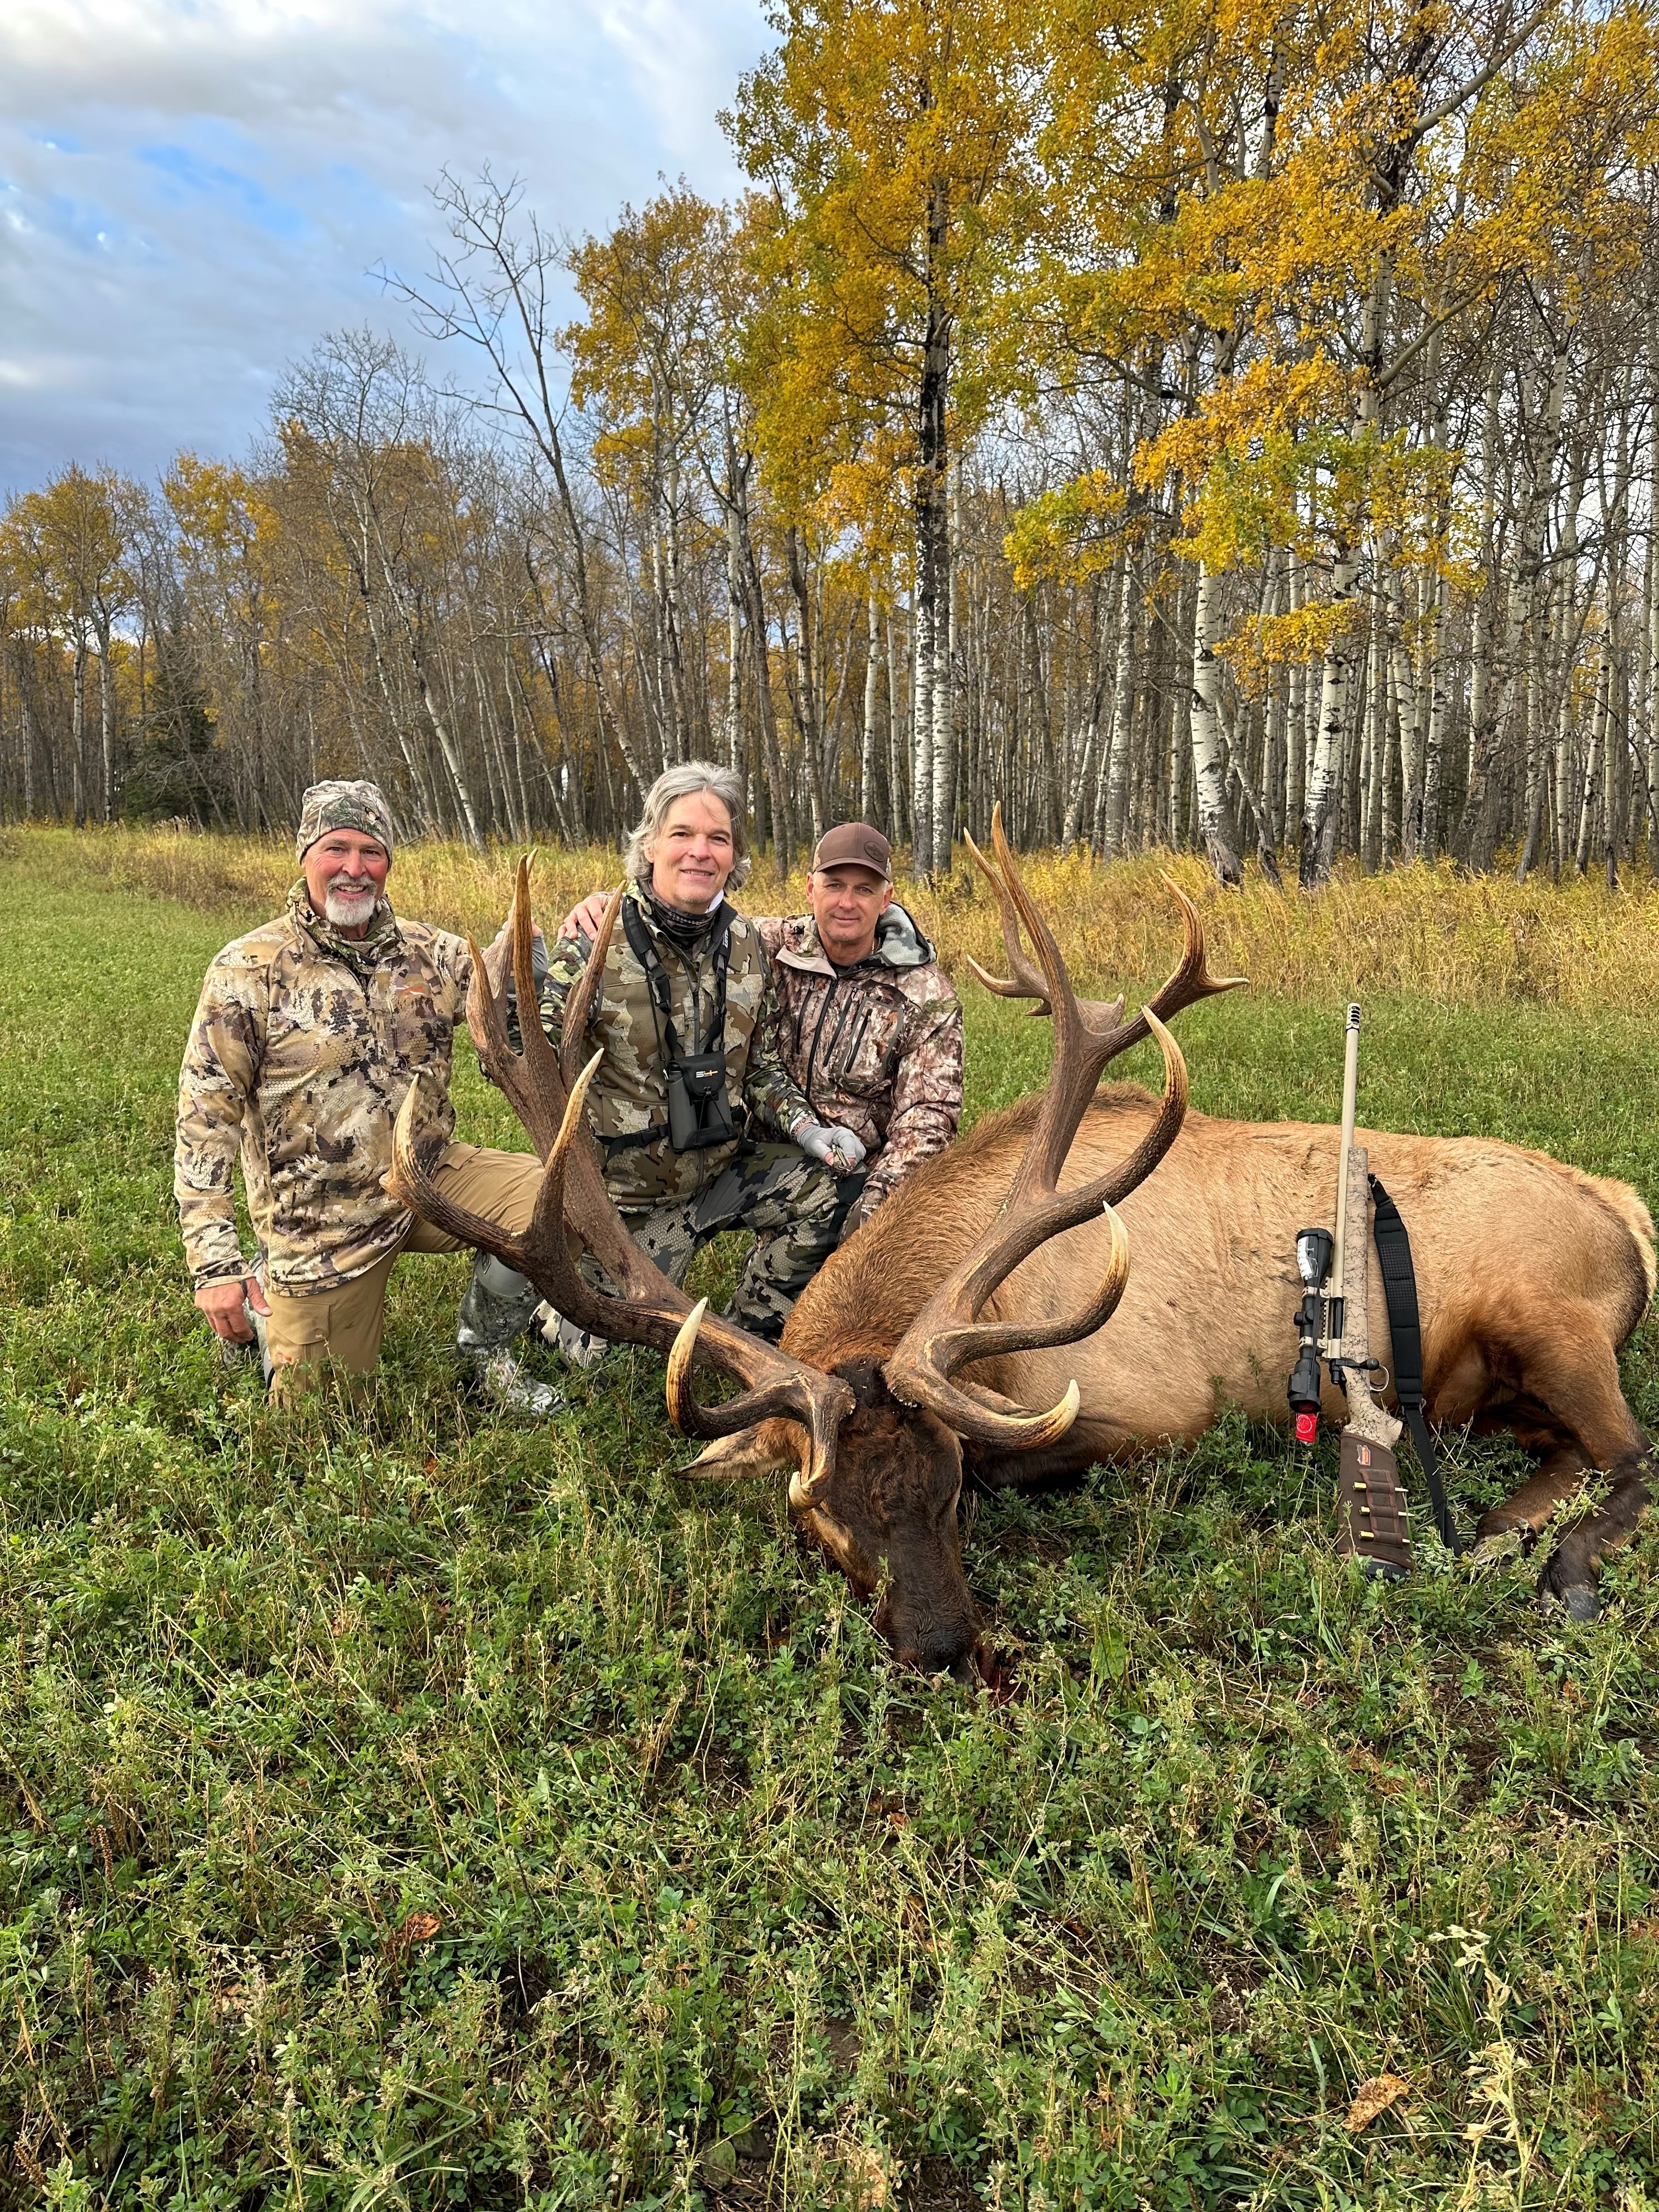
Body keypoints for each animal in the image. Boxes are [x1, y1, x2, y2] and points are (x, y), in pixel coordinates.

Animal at [389, 814, 1656, 1678]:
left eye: (950, 1491)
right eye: (817, 1509)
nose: (946, 1645)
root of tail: (1622, 1205)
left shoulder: (1152, 1407)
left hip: (1546, 1316)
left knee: (1629, 1451)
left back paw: (1527, 1552)